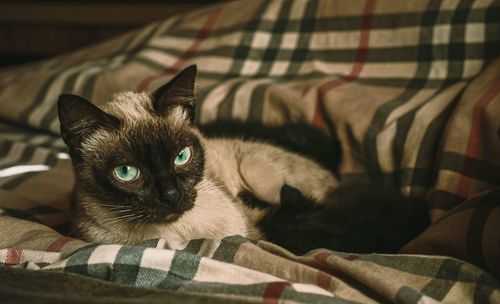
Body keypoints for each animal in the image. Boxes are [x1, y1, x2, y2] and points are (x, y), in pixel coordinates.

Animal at [57, 64, 426, 254]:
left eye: (181, 156)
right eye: (126, 172)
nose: (172, 196)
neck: (173, 236)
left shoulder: (249, 227)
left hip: (260, 174)